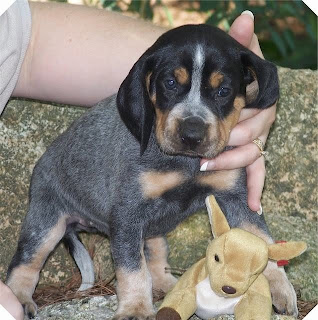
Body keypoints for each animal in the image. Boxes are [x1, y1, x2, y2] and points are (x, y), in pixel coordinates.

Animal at [5, 24, 298, 318]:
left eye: (224, 90)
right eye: (170, 83)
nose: (192, 135)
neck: (187, 163)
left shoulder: (236, 199)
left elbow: (260, 239)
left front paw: (279, 288)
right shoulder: (128, 214)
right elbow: (133, 269)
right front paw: (135, 307)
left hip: (151, 231)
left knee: (156, 257)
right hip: (47, 224)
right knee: (25, 263)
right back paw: (18, 298)